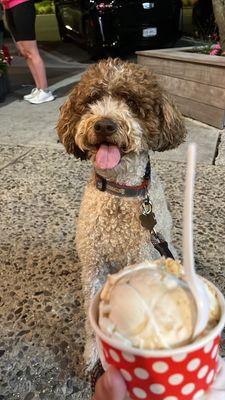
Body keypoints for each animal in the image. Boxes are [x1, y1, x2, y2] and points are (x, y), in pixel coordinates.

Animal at [56, 57, 186, 370]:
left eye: (131, 101)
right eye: (92, 99)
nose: (104, 124)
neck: (119, 193)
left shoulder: (142, 258)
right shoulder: (93, 267)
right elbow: (92, 318)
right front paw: (94, 353)